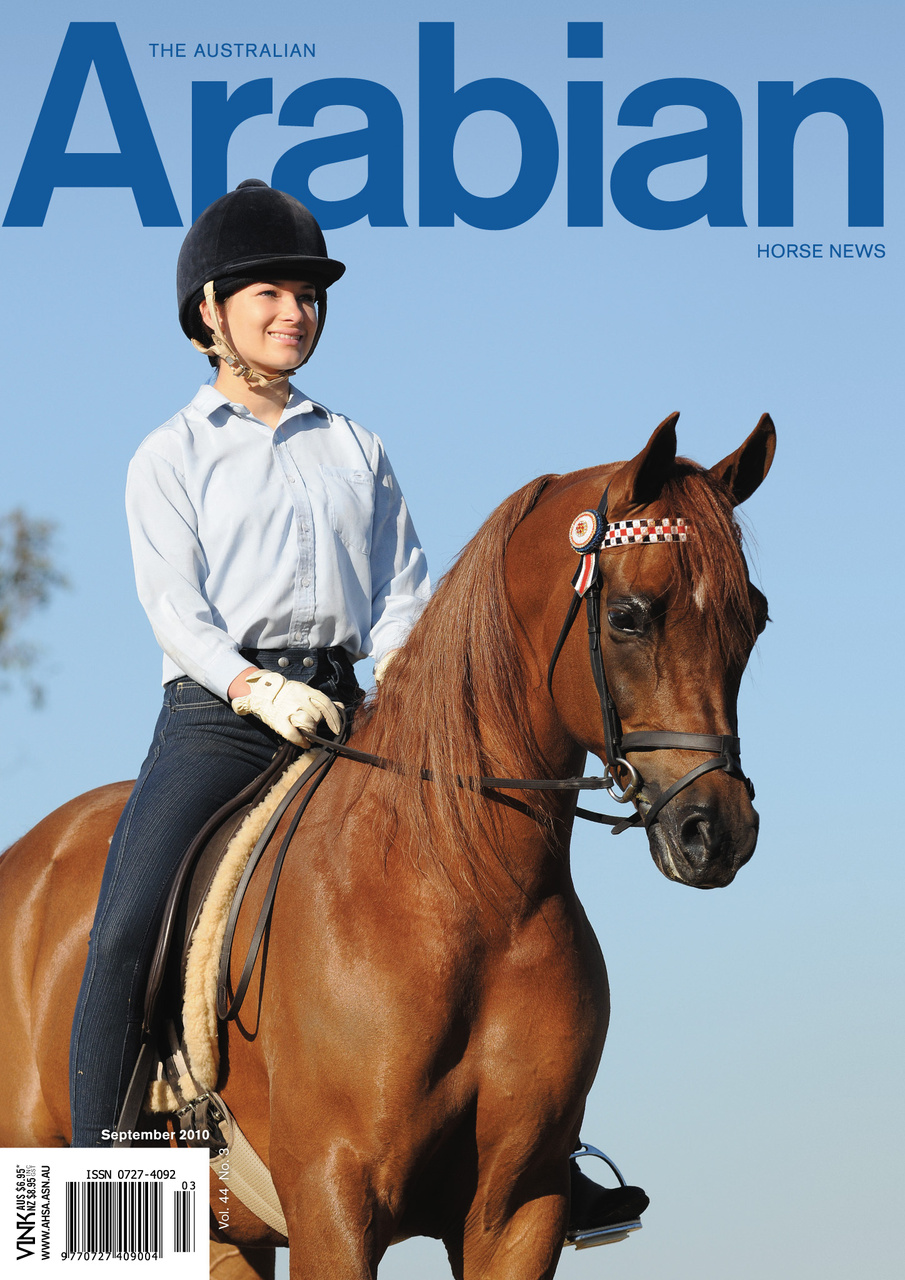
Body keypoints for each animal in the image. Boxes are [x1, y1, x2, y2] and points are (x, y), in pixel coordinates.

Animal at [0, 411, 774, 1279]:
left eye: (754, 618)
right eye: (629, 617)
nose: (716, 831)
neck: (462, 891)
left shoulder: (520, 1209)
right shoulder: (334, 1200)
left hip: (224, 1234)